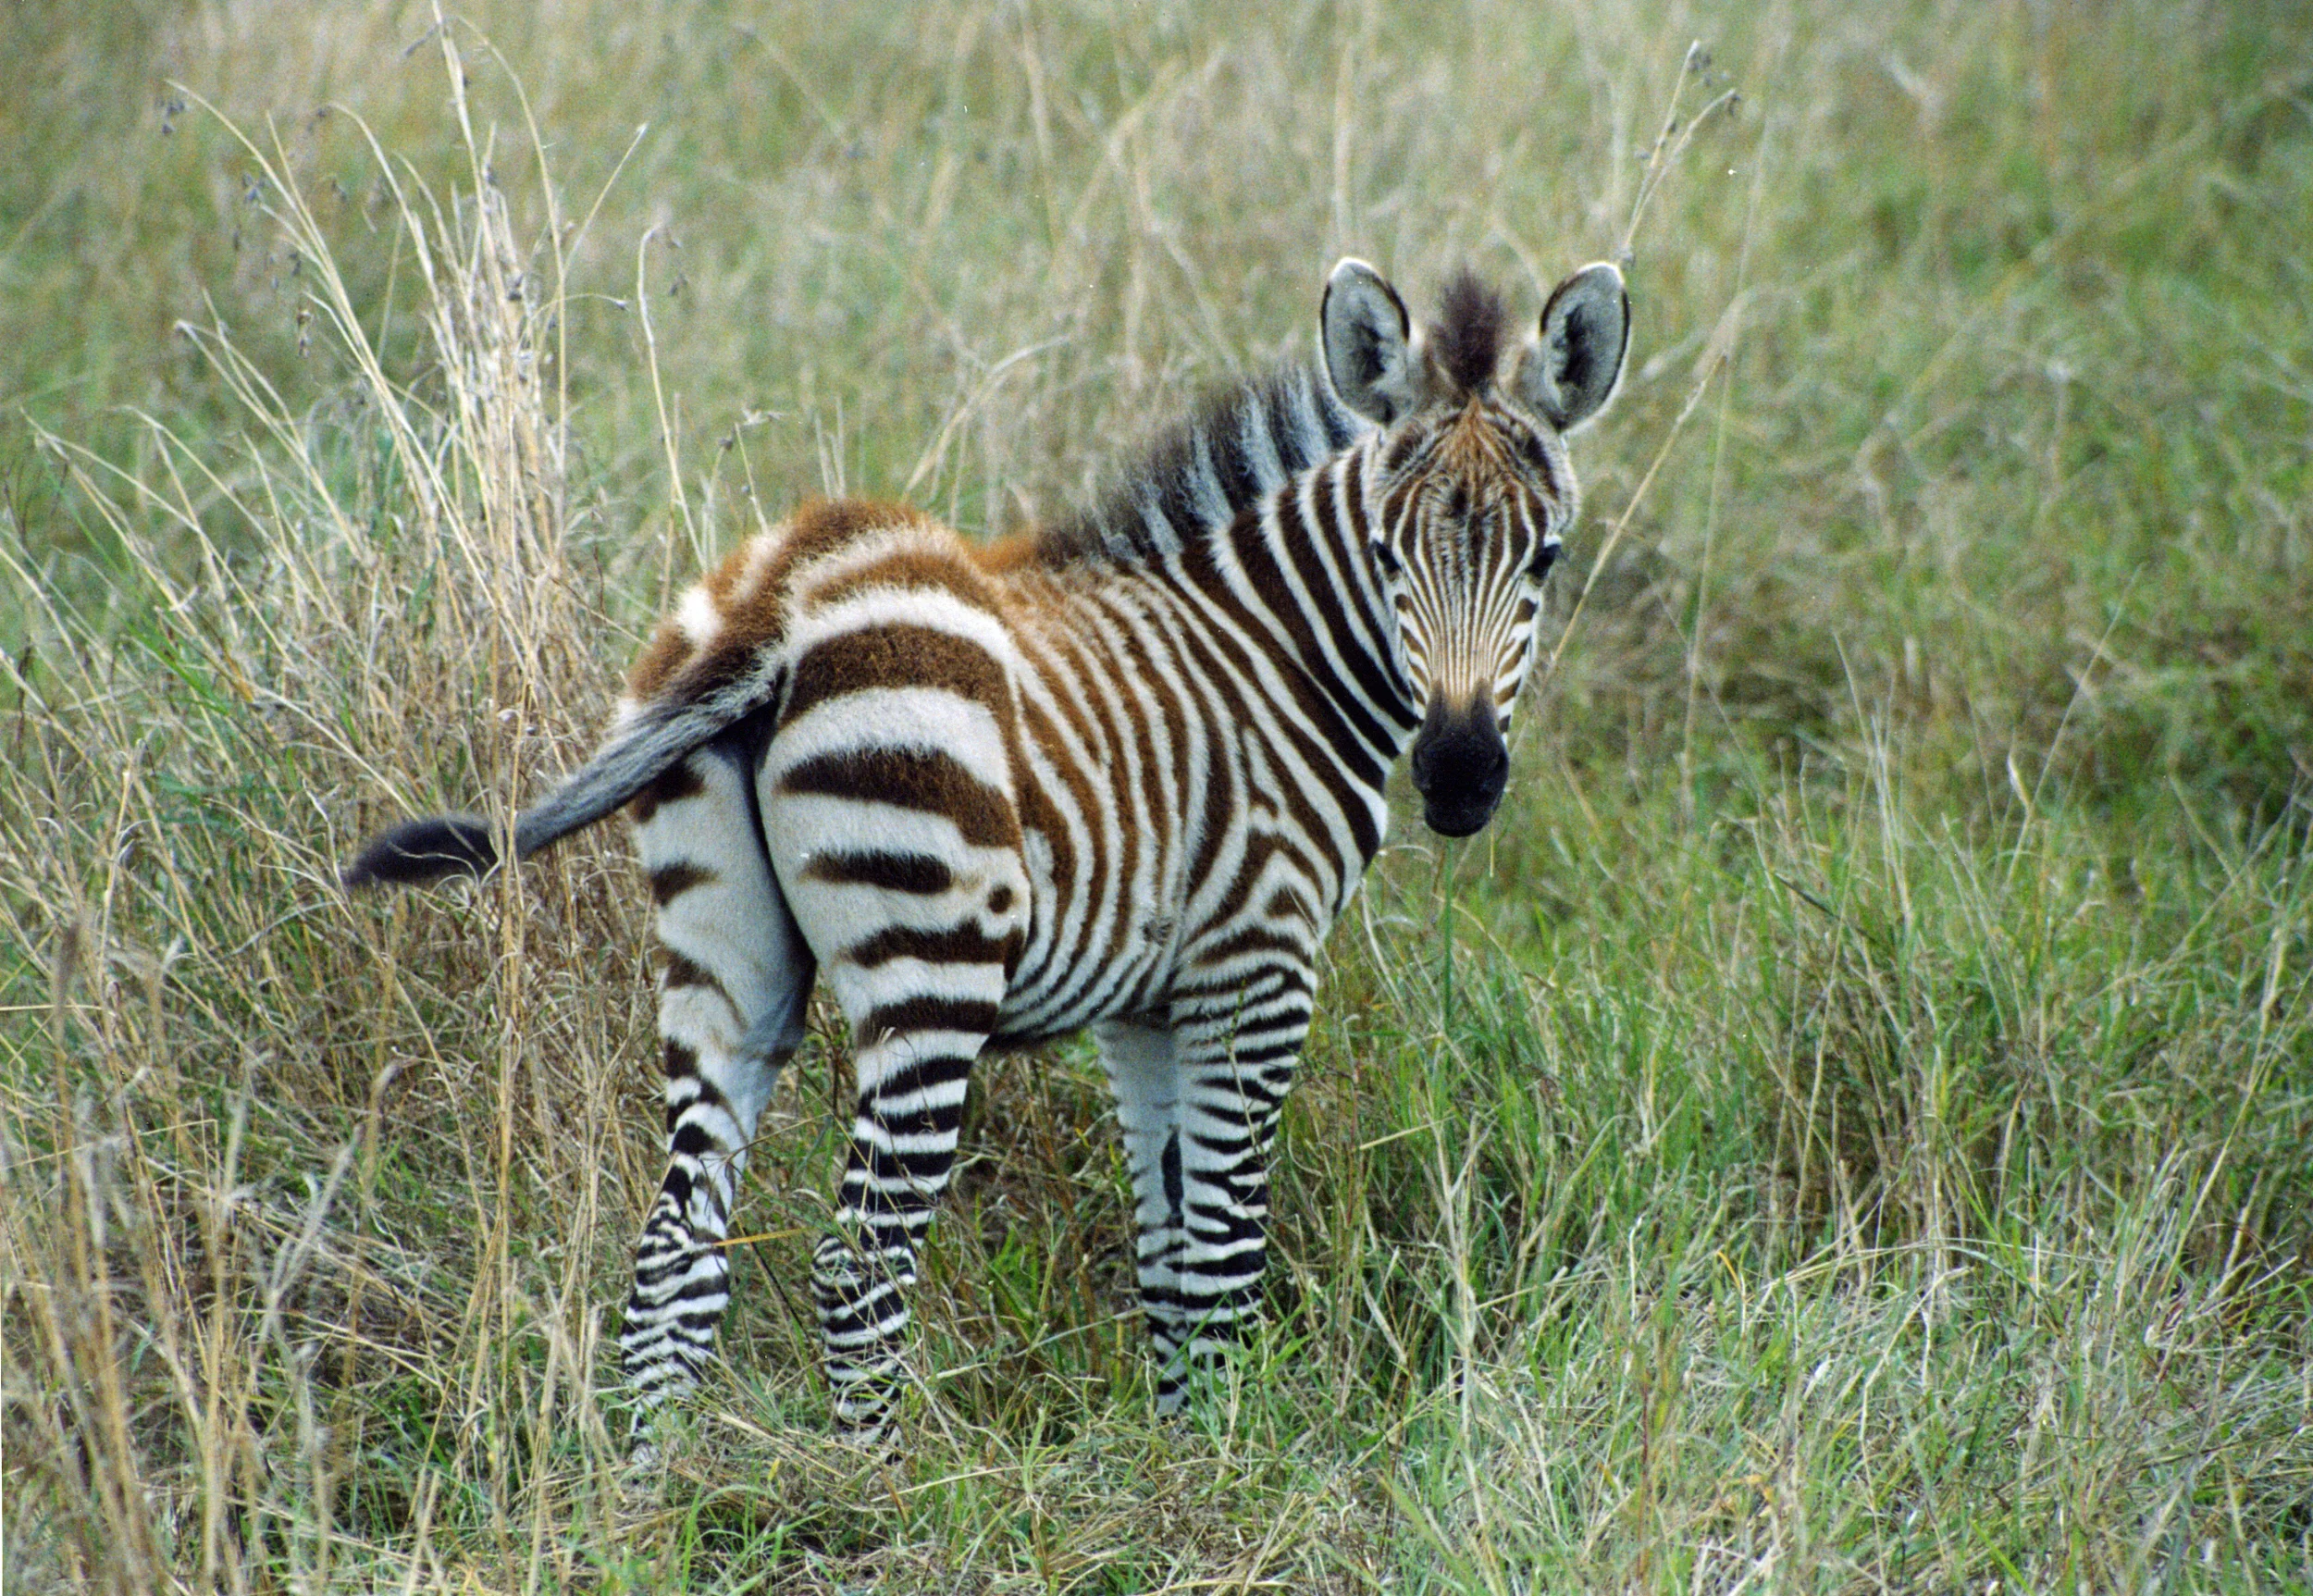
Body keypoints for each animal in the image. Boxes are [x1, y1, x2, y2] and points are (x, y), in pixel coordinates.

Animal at [344, 256, 1629, 1439]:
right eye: (1387, 552)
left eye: (1546, 557)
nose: (1459, 778)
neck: (1279, 657)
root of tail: (781, 598)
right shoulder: (1255, 965)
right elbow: (1220, 1255)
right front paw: (1225, 1463)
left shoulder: (1144, 1005)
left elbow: (1167, 1256)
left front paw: (1179, 1459)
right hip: (932, 963)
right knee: (859, 1266)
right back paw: (879, 1492)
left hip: (725, 957)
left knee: (675, 1257)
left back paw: (648, 1495)